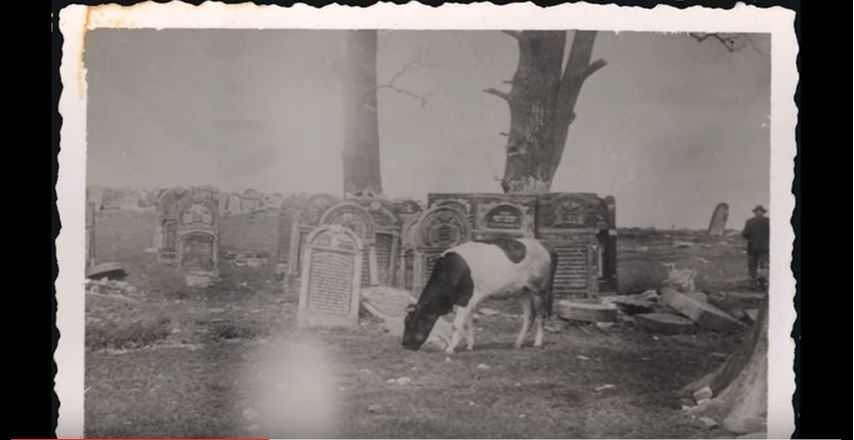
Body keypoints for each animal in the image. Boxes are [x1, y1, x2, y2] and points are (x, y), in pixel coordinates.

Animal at [402, 239, 560, 352]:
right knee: (529, 315)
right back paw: (517, 343)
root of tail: (545, 245)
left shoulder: (467, 298)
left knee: (541, 315)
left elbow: (457, 324)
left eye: (409, 322)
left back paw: (537, 343)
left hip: (540, 289)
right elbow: (468, 323)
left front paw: (450, 349)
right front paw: (469, 346)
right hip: (524, 291)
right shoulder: (467, 301)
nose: (404, 345)